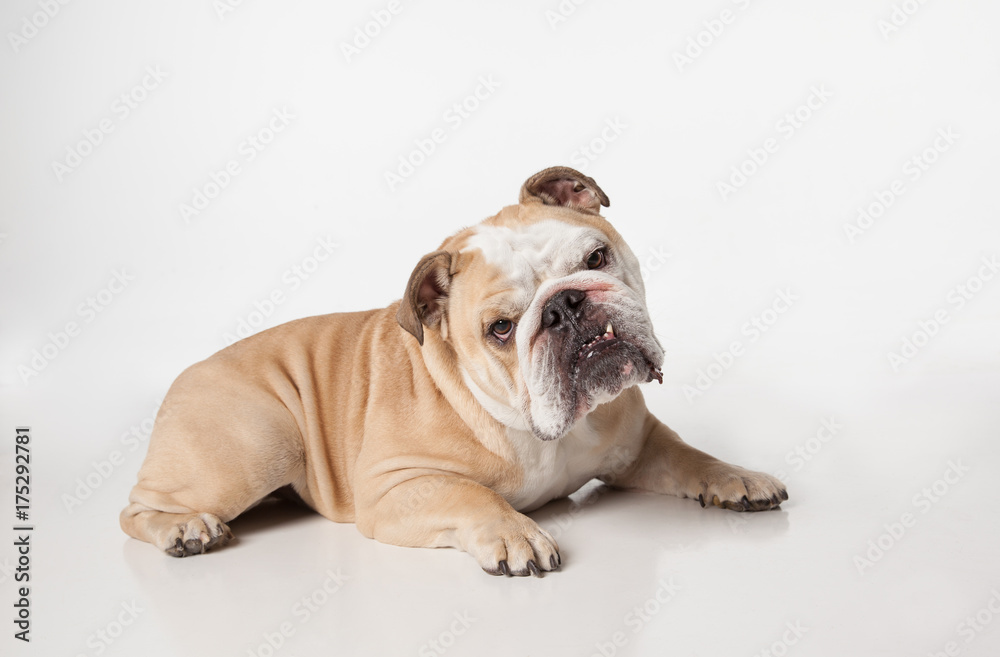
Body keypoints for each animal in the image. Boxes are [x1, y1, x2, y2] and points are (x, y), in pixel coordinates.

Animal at [121, 165, 784, 576]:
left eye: (596, 258)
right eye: (501, 329)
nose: (566, 306)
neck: (544, 427)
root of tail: (189, 372)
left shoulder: (640, 441)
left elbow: (690, 455)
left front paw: (737, 477)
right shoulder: (394, 486)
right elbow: (470, 495)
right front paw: (515, 532)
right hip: (262, 443)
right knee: (134, 510)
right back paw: (187, 529)